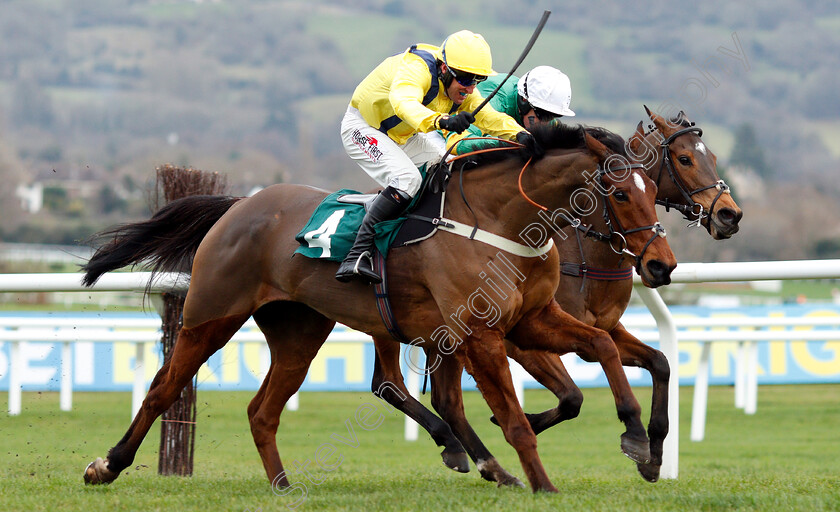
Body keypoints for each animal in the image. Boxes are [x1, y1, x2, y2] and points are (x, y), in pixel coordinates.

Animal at [82, 122, 680, 494]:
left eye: (655, 191)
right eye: (620, 194)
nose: (661, 265)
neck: (503, 221)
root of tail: (240, 205)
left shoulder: (531, 321)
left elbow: (604, 347)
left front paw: (637, 437)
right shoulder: (485, 334)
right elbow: (514, 418)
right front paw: (544, 483)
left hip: (300, 330)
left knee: (263, 411)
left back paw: (283, 484)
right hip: (211, 314)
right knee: (162, 388)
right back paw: (106, 465)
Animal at [368, 107, 740, 484]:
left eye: (713, 157)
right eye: (684, 159)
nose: (730, 214)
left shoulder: (603, 328)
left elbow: (660, 362)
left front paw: (653, 455)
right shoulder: (519, 341)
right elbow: (572, 397)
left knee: (399, 387)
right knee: (390, 384)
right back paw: (453, 443)